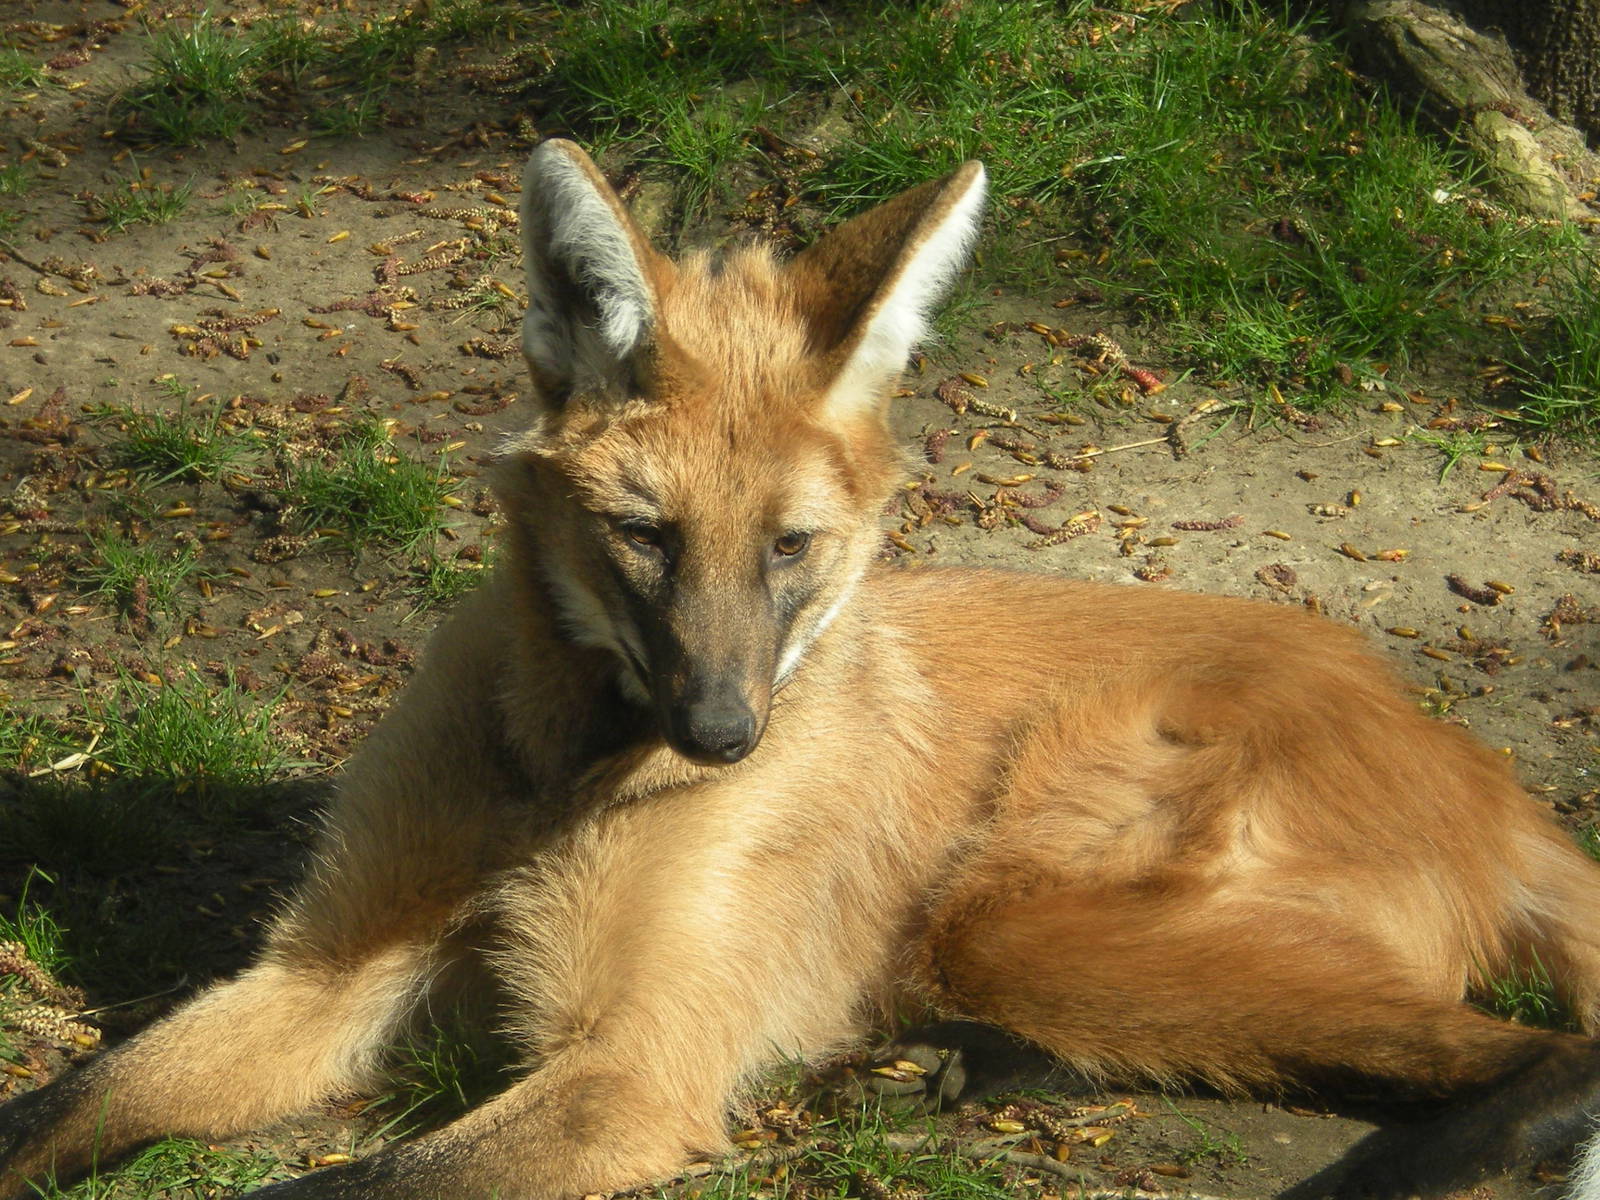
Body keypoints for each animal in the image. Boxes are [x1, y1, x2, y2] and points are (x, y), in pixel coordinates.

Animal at [2, 140, 1599, 1200]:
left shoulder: (627, 1071)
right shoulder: (327, 972)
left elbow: (347, 1185)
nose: (724, 737)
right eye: (644, 537)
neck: (559, 764)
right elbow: (69, 1102)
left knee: (1539, 1057)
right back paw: (929, 1062)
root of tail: (1481, 769)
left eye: (789, 548)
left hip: (1018, 900)